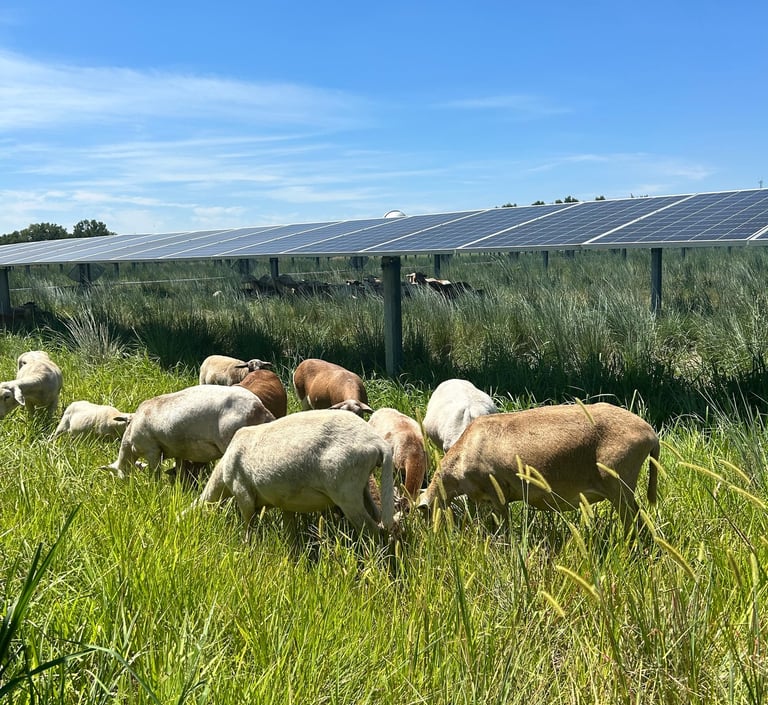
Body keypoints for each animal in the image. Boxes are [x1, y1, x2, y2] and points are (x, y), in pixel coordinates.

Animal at [192, 409, 394, 542]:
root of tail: (377, 442)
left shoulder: (242, 492)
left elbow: (249, 525)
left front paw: (247, 547)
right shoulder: (285, 502)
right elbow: (289, 532)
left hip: (346, 491)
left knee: (371, 530)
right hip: (362, 487)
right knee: (380, 523)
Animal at [418, 402, 659, 538]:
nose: (431, 537)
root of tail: (651, 433)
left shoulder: (497, 492)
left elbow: (503, 525)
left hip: (619, 485)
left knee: (635, 522)